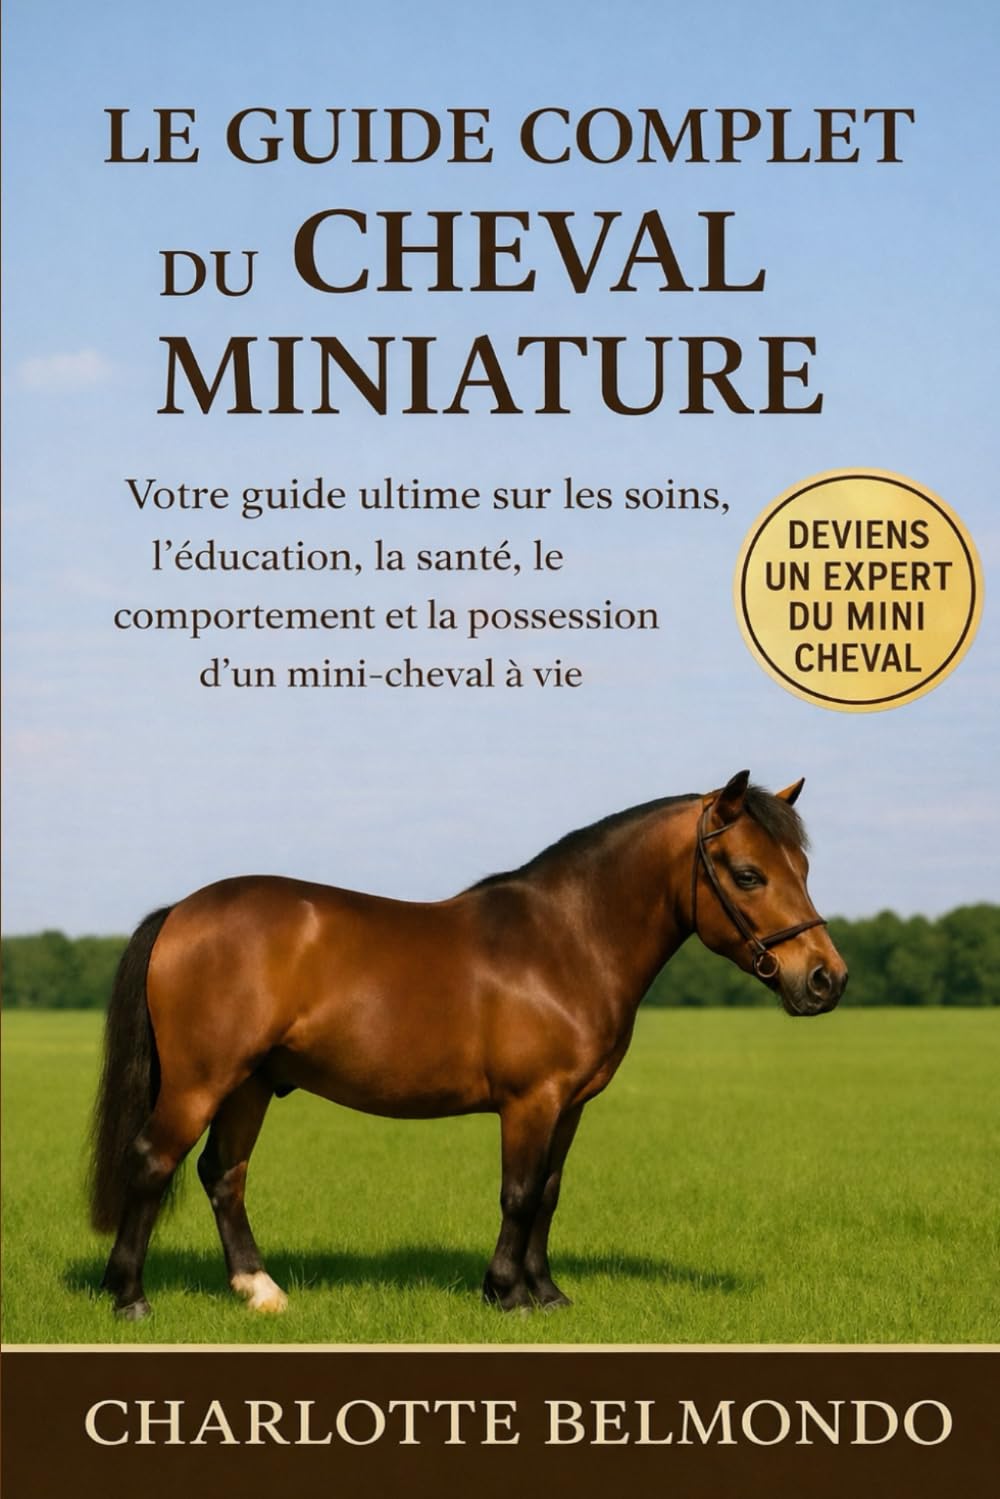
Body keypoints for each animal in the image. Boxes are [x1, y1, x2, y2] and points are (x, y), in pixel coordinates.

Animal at [90, 770, 847, 1319]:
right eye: (747, 873)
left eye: (804, 867)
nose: (825, 979)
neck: (564, 939)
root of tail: (180, 912)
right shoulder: (531, 1100)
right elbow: (517, 1193)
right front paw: (507, 1294)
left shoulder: (570, 1105)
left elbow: (548, 1193)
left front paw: (548, 1294)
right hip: (201, 1082)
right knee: (154, 1161)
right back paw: (131, 1298)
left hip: (249, 1084)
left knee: (224, 1173)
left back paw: (260, 1291)